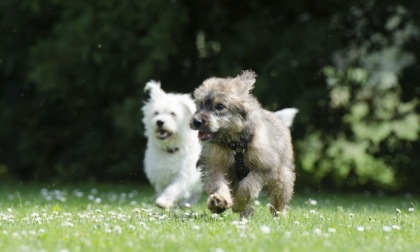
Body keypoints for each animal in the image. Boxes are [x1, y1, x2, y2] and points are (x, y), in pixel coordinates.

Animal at [142, 81, 203, 209]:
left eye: (172, 114)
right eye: (156, 113)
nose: (159, 122)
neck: (170, 149)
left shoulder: (183, 175)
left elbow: (173, 189)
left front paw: (163, 201)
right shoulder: (160, 175)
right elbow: (162, 189)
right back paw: (187, 204)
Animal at [190, 70, 296, 218]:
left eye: (220, 106)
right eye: (200, 104)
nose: (196, 121)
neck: (234, 144)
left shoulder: (264, 167)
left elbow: (247, 187)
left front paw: (238, 203)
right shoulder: (214, 165)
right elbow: (218, 183)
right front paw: (219, 201)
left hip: (282, 176)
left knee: (279, 199)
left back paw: (280, 216)